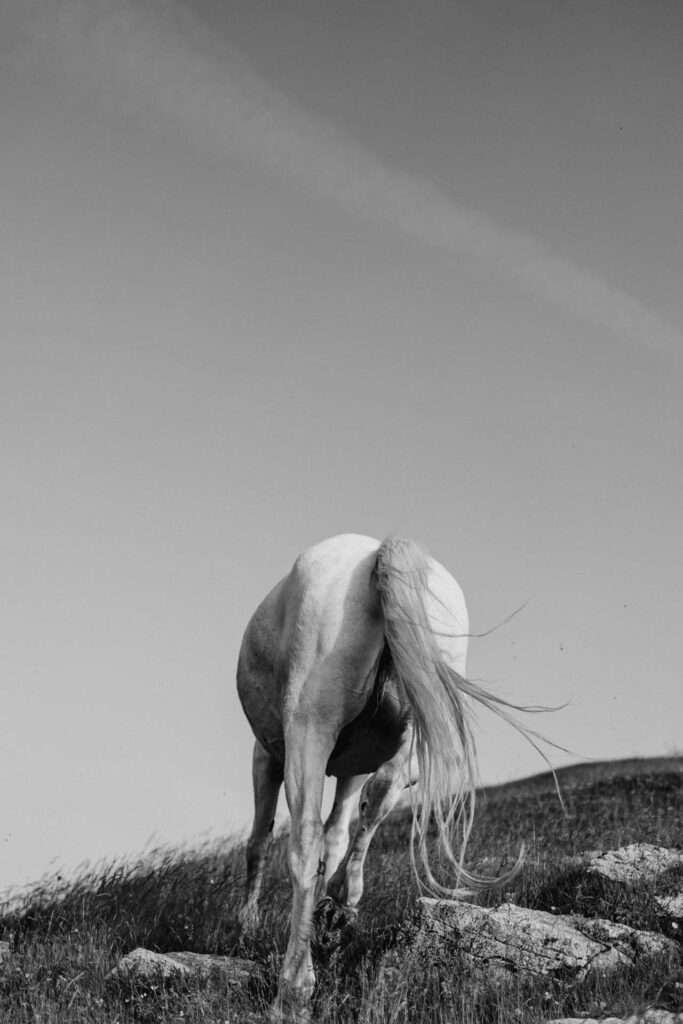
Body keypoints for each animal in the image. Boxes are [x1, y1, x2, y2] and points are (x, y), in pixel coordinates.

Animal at [237, 532, 552, 1019]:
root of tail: (378, 553)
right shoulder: (350, 769)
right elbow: (340, 832)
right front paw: (330, 907)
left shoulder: (267, 756)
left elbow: (261, 840)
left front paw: (248, 926)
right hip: (411, 737)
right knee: (377, 799)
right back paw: (341, 905)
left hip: (309, 730)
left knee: (304, 842)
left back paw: (293, 991)